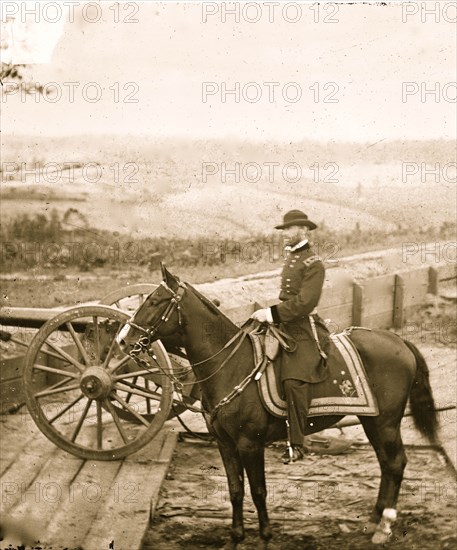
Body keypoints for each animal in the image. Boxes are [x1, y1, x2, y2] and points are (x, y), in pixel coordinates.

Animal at [117, 266, 438, 548]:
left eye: (154, 301)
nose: (123, 339)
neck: (232, 365)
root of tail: (399, 340)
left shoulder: (250, 444)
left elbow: (258, 491)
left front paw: (265, 537)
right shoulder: (224, 443)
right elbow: (235, 490)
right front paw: (236, 538)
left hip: (385, 422)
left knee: (395, 462)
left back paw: (384, 526)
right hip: (371, 420)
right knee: (386, 464)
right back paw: (374, 521)